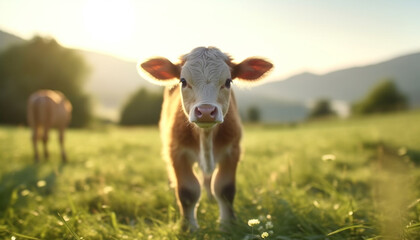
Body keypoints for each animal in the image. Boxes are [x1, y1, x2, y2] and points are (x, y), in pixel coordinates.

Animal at [139, 47, 274, 231]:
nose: (205, 111)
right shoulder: (177, 152)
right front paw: (188, 227)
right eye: (183, 81)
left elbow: (225, 189)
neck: (206, 136)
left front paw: (227, 225)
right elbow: (187, 191)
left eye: (228, 82)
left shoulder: (232, 151)